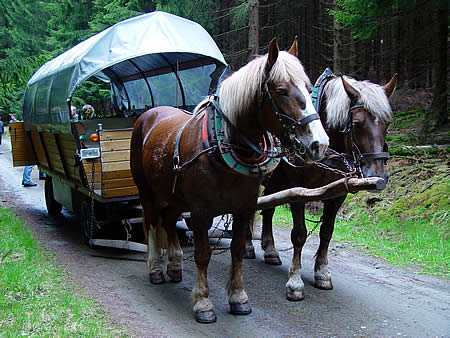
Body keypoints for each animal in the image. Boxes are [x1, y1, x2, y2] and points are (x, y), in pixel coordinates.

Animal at [128, 38, 328, 324]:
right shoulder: (200, 212)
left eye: (309, 88)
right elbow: (202, 254)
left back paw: (175, 265)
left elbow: (236, 249)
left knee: (168, 220)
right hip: (148, 193)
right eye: (281, 91)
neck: (224, 146)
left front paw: (238, 298)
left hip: (174, 195)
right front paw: (203, 302)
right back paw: (155, 268)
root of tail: (148, 114)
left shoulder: (244, 208)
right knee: (153, 223)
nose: (319, 144)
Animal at [246, 71, 398, 302]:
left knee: (268, 211)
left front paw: (323, 273)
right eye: (357, 123)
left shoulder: (336, 195)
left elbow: (327, 232)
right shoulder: (298, 191)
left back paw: (270, 251)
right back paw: (248, 247)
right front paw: (295, 282)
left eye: (387, 123)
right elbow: (299, 234)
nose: (378, 176)